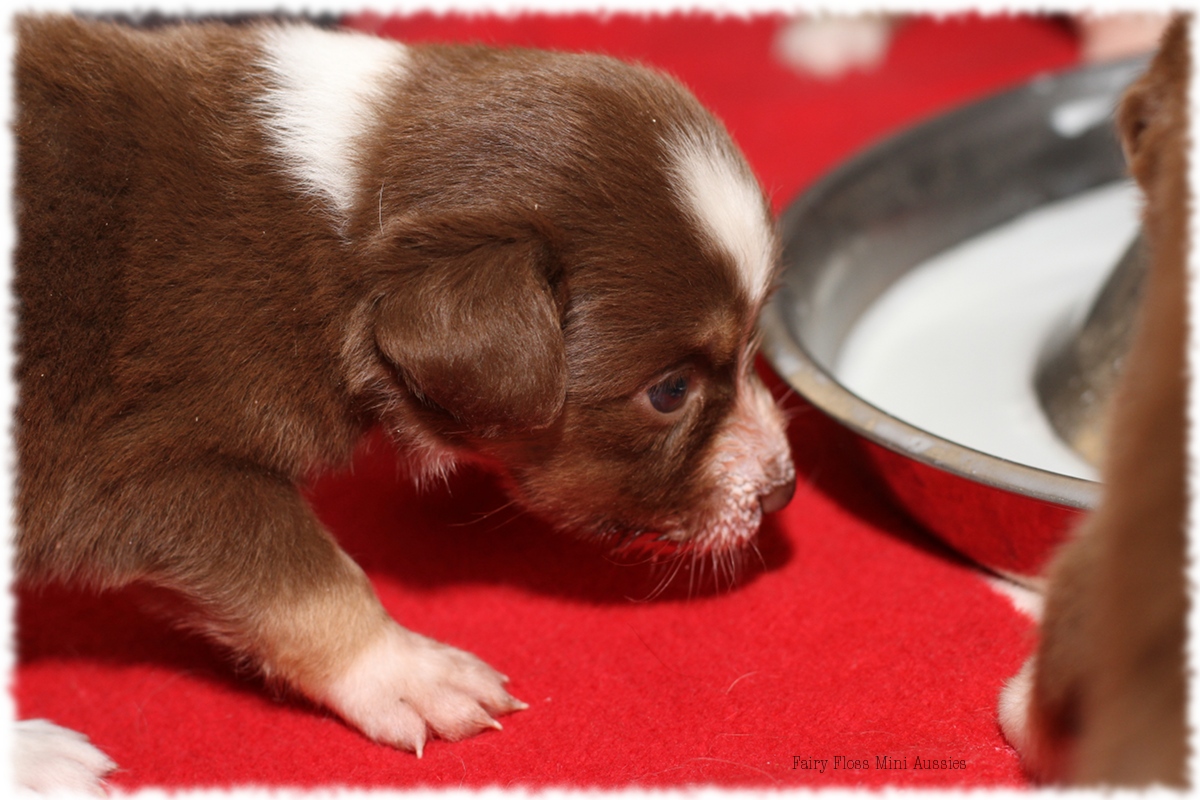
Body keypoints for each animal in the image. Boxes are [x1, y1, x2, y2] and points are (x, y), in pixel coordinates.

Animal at [14, 12, 796, 786]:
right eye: (669, 391)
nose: (783, 491)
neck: (341, 222)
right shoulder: (147, 469)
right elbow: (304, 580)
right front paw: (409, 673)